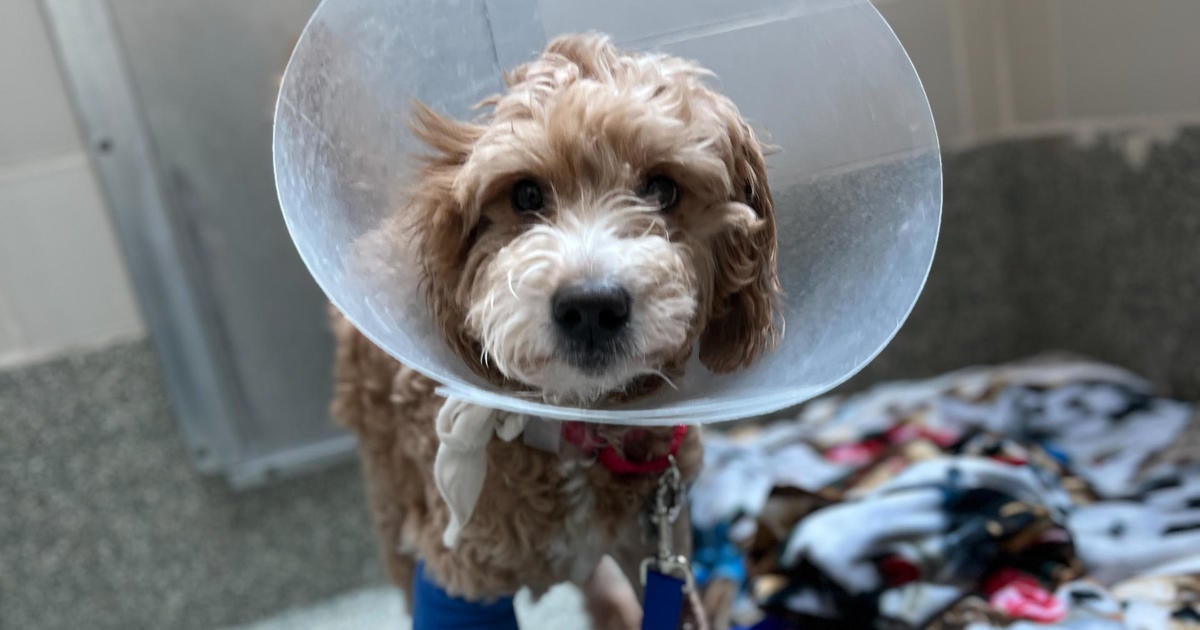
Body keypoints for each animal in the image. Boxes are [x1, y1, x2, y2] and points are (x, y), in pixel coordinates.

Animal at [331, 34, 777, 628]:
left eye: (662, 189)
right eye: (525, 195)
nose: (591, 306)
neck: (573, 428)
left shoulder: (661, 544)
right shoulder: (460, 573)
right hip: (389, 490)